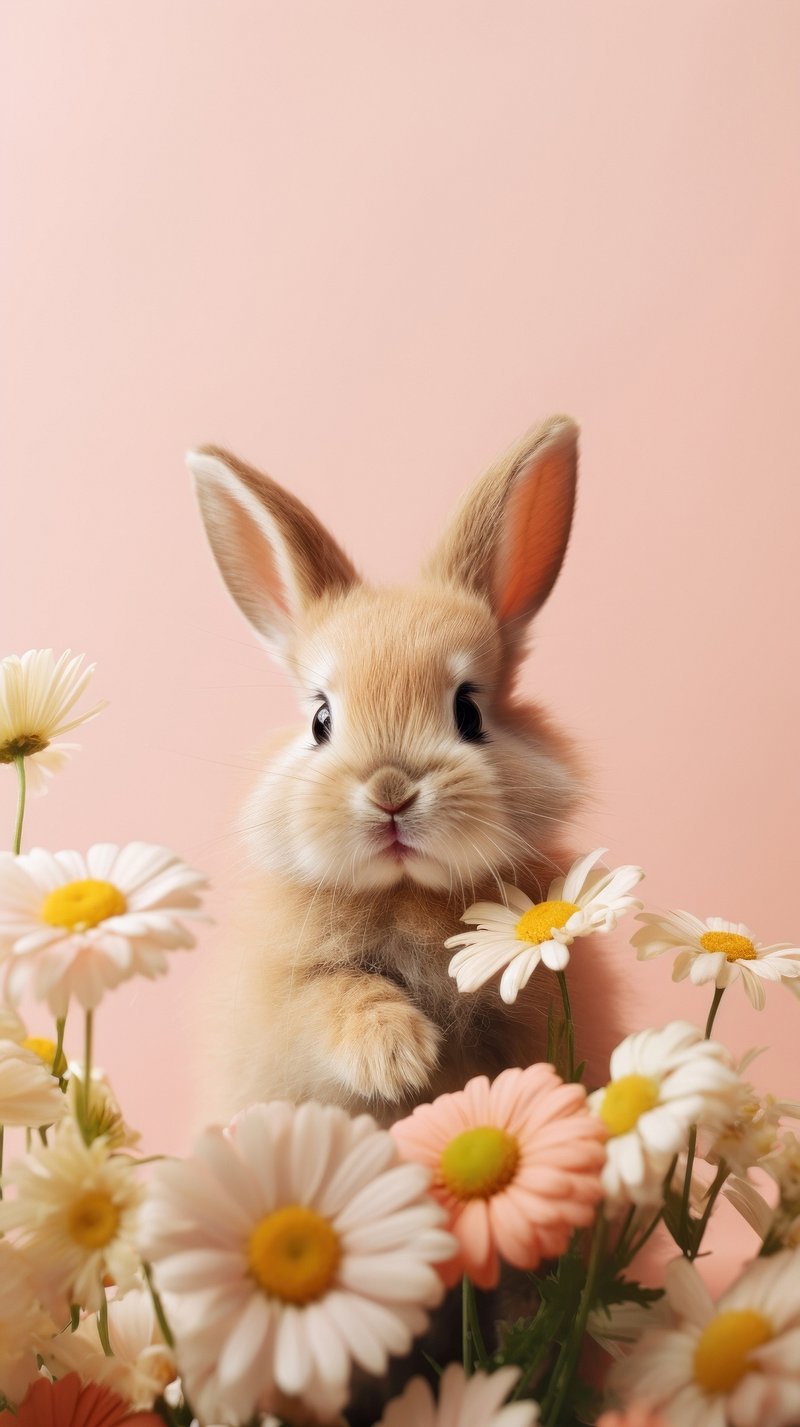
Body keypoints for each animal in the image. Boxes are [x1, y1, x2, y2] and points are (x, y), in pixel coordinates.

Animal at [189, 415, 623, 1129]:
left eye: (469, 712)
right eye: (320, 720)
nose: (390, 793)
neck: (403, 894)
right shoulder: (289, 995)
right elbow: (335, 994)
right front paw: (398, 1061)